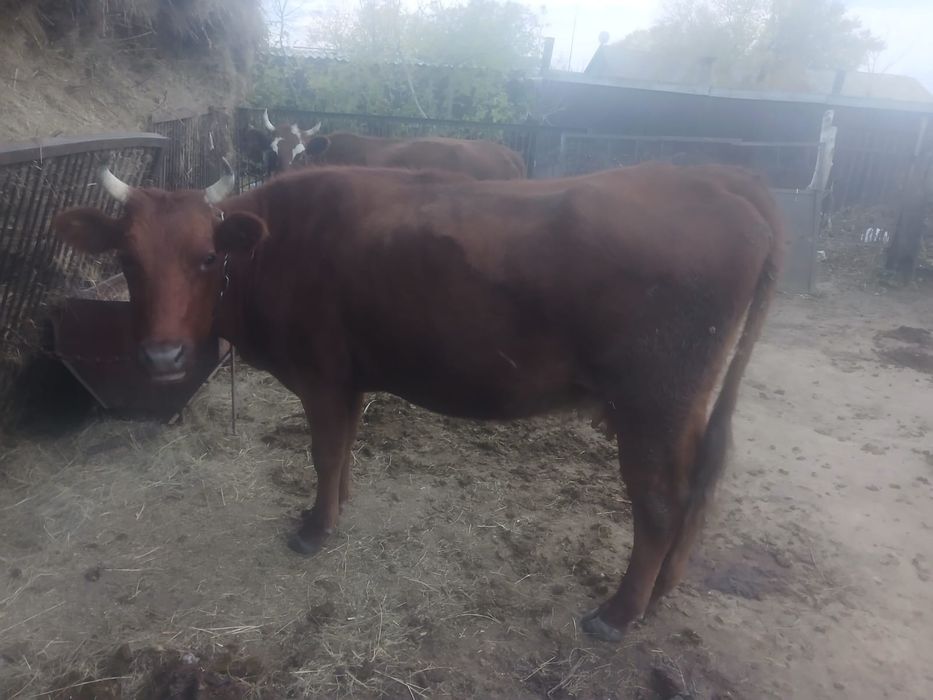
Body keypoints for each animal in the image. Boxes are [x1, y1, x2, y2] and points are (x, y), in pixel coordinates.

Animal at [53, 159, 782, 642]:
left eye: (207, 257)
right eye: (127, 260)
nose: (163, 358)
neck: (277, 244)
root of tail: (714, 179)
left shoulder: (320, 373)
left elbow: (324, 451)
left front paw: (315, 530)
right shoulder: (348, 378)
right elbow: (344, 448)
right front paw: (337, 507)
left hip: (653, 404)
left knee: (659, 503)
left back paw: (618, 614)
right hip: (682, 409)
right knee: (697, 489)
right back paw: (662, 591)